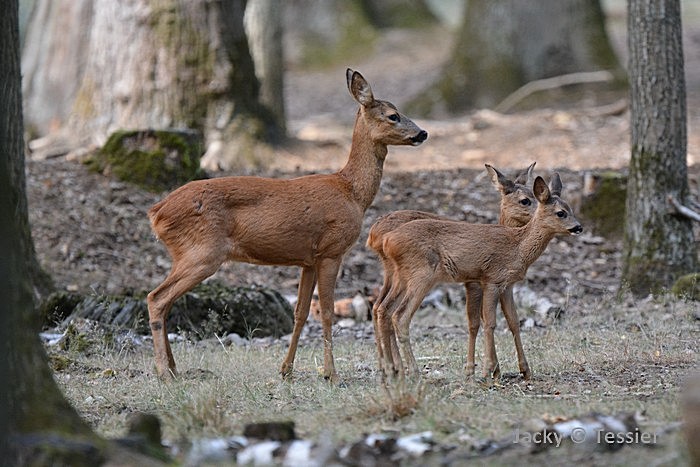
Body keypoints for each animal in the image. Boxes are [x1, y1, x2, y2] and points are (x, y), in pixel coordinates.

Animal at [148, 70, 426, 384]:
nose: (422, 133)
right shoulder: (331, 250)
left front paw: (286, 370)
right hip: (202, 253)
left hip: (188, 254)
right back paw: (164, 372)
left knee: (165, 301)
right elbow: (327, 312)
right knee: (156, 298)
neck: (351, 192)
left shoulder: (307, 259)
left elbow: (301, 312)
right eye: (393, 115)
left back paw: (172, 368)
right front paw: (331, 374)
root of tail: (156, 212)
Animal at [374, 174, 584, 382]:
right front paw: (488, 371)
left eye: (571, 208)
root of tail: (385, 240)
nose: (579, 227)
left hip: (401, 276)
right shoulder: (491, 279)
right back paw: (413, 373)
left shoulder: (507, 285)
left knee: (382, 309)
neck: (517, 247)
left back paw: (392, 371)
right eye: (561, 213)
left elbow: (513, 322)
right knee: (400, 316)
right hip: (421, 275)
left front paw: (524, 370)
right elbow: (489, 323)